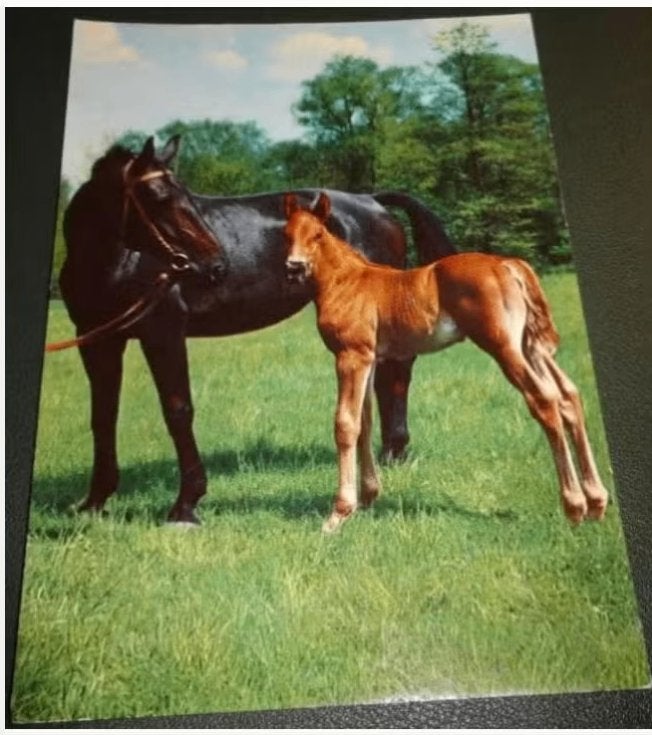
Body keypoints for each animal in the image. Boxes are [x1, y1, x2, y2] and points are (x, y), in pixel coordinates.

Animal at [57, 138, 456, 524]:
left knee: (396, 375)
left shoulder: (163, 332)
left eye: (183, 195)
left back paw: (393, 453)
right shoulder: (97, 340)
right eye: (157, 197)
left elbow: (177, 409)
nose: (216, 265)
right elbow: (103, 415)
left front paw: (186, 505)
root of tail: (371, 201)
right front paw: (94, 501)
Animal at [283, 192, 610, 534]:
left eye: (318, 235)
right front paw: (369, 497)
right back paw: (596, 502)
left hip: (504, 347)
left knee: (544, 399)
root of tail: (507, 264)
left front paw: (339, 514)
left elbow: (345, 423)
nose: (294, 267)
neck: (345, 281)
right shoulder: (369, 358)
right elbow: (365, 421)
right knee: (568, 395)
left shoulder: (351, 355)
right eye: (287, 235)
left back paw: (574, 506)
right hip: (531, 347)